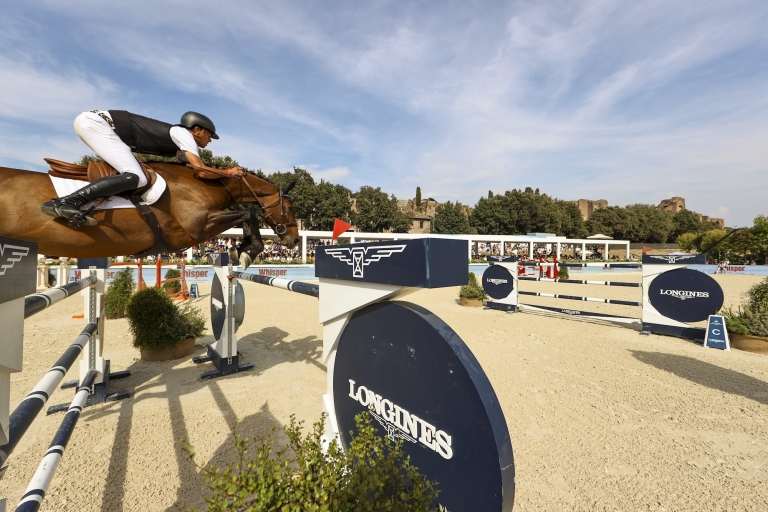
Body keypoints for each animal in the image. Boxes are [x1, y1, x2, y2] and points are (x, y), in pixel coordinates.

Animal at [0, 163, 300, 268]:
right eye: (291, 206)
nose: (295, 241)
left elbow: (246, 216)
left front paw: (241, 249)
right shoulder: (197, 227)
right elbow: (247, 215)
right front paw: (248, 250)